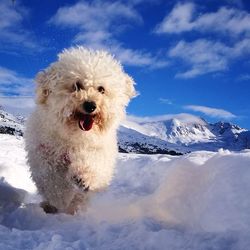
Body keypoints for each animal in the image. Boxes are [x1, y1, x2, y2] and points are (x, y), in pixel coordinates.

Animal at [24, 47, 136, 215]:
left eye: (101, 89)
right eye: (76, 85)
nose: (90, 105)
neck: (74, 137)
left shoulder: (98, 151)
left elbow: (92, 163)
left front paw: (84, 177)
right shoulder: (44, 155)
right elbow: (52, 182)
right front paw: (60, 198)